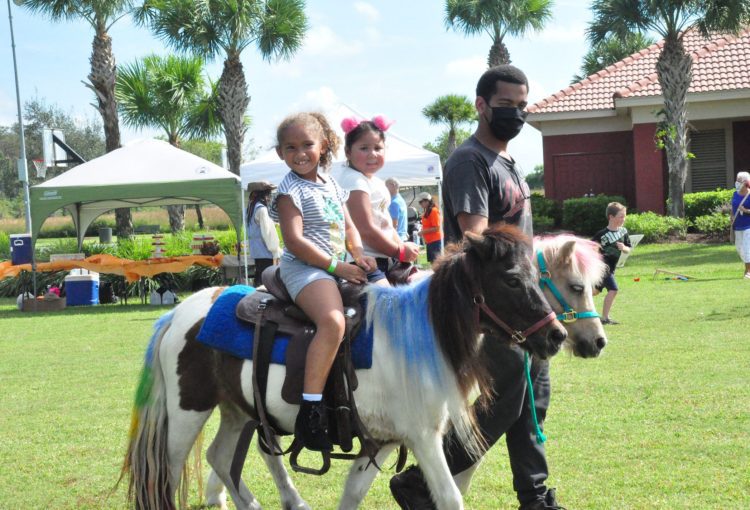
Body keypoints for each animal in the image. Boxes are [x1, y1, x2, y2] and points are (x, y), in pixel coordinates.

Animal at [122, 227, 568, 510]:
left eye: (536, 276)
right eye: (511, 280)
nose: (557, 335)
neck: (416, 338)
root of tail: (179, 312)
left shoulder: (384, 439)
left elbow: (352, 493)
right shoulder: (424, 439)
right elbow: (449, 497)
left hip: (237, 410)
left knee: (221, 457)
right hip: (188, 412)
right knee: (166, 473)